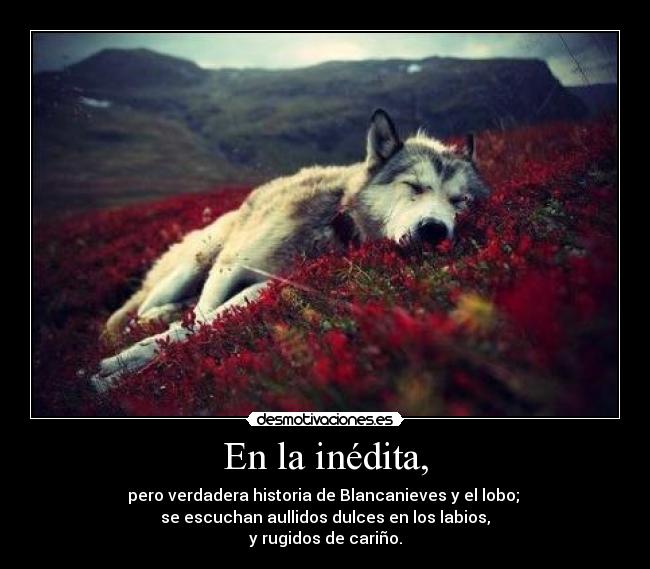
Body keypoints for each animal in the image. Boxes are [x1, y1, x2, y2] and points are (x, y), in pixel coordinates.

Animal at [91, 109, 489, 391]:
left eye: (460, 201)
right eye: (415, 187)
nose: (434, 230)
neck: (334, 225)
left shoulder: (268, 287)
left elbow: (200, 327)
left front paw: (120, 371)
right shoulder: (229, 267)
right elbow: (199, 320)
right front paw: (122, 365)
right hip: (199, 259)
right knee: (137, 311)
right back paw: (148, 320)